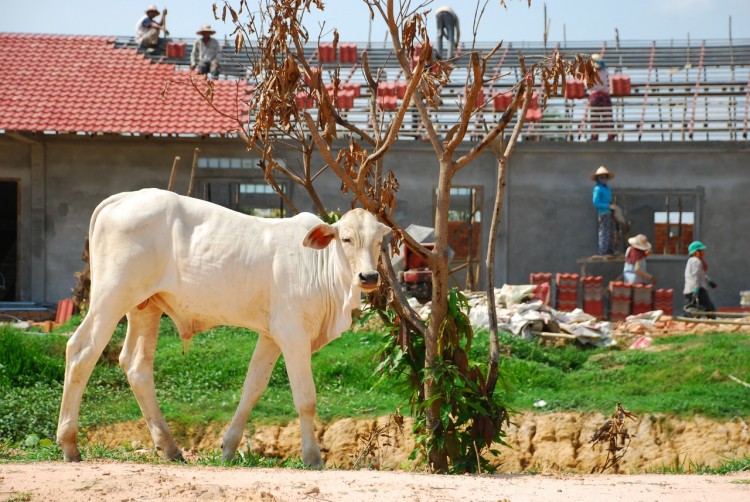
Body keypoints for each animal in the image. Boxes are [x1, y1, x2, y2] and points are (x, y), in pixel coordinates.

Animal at [55, 188, 390, 466]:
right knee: (81, 351)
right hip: (111, 297)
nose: (369, 276)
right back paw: (70, 444)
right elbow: (305, 398)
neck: (322, 268)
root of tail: (123, 197)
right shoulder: (292, 335)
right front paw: (313, 458)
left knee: (136, 365)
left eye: (378, 241)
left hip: (145, 307)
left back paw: (170, 448)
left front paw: (228, 448)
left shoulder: (270, 335)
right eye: (346, 238)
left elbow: (252, 388)